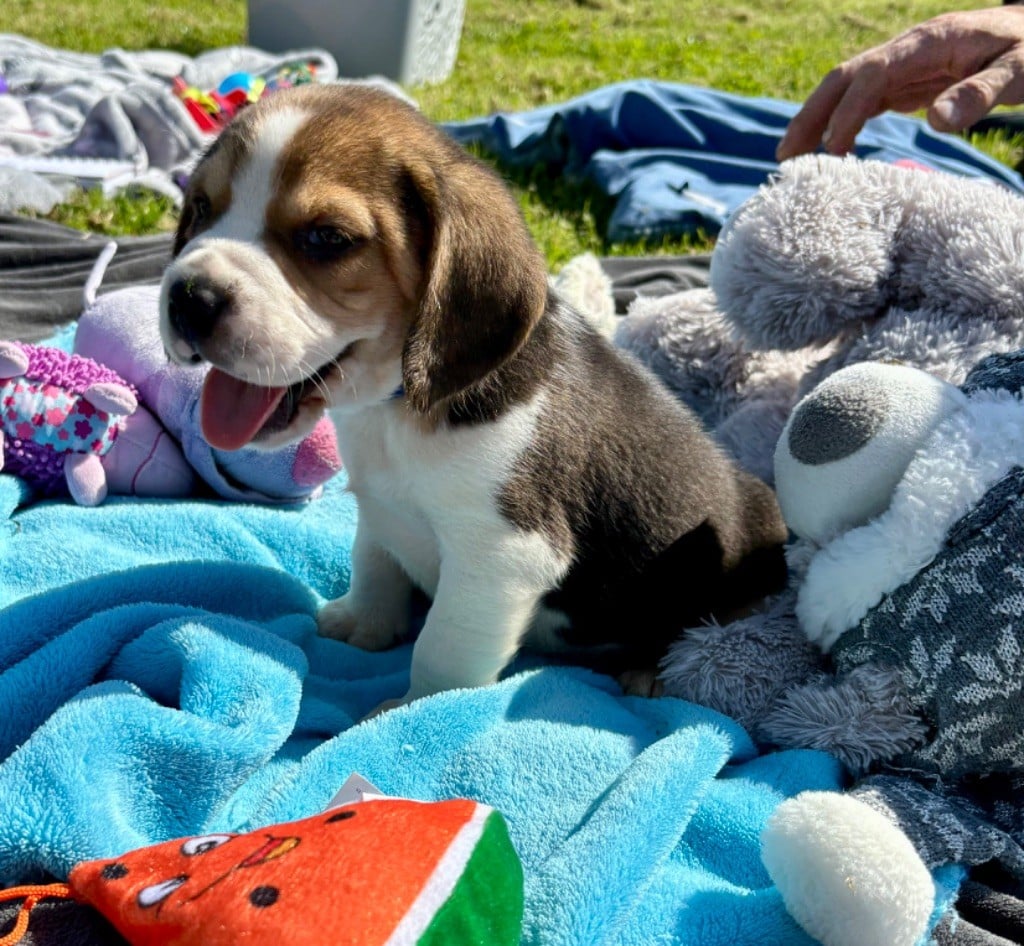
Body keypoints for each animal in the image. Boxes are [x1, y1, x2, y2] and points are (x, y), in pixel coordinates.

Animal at [159, 82, 786, 700]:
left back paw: (650, 671)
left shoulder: (502, 555)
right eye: (201, 207)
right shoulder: (379, 506)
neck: (395, 408)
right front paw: (364, 623)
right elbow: (375, 562)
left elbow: (443, 649)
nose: (189, 297)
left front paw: (410, 712)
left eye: (326, 238)